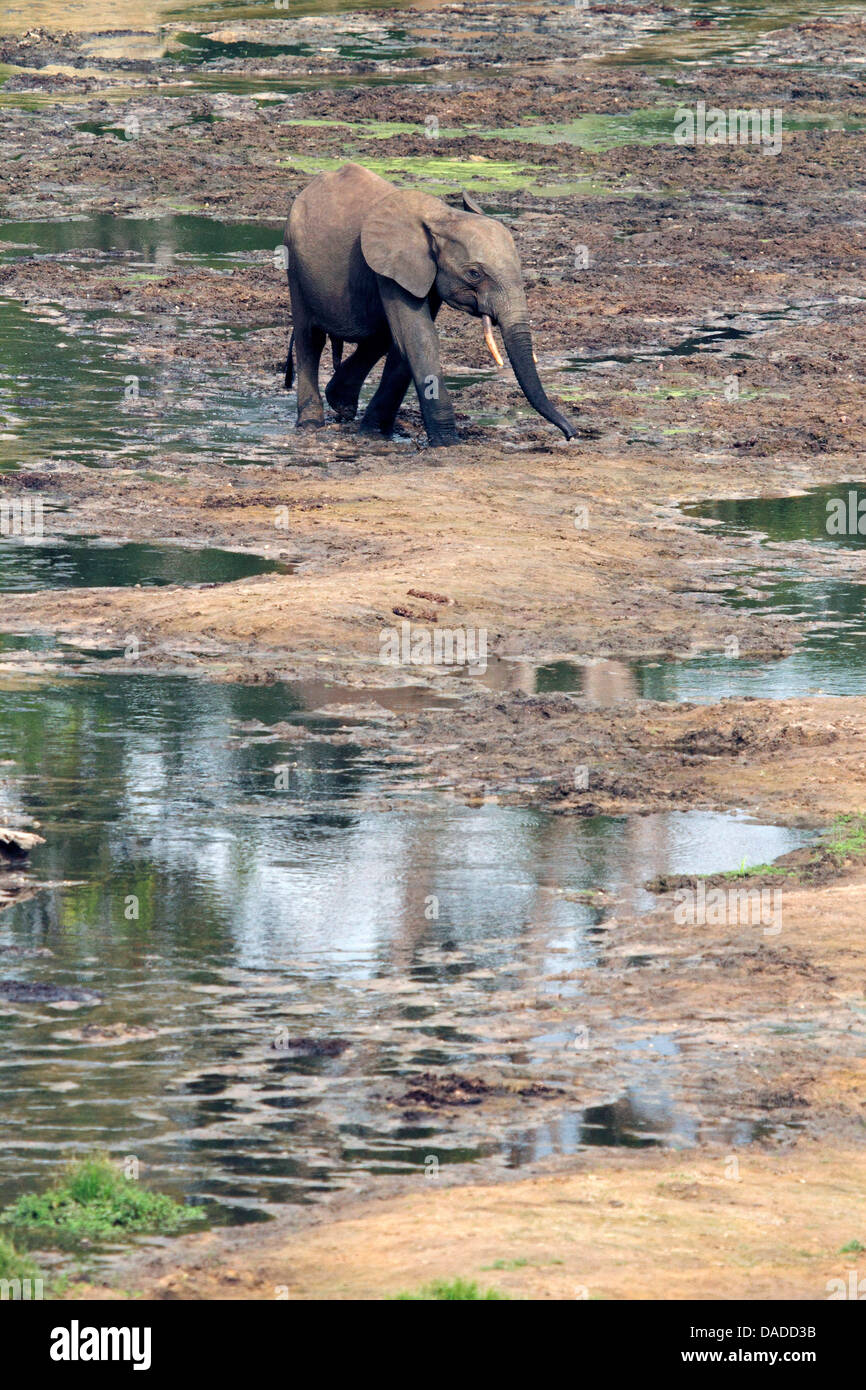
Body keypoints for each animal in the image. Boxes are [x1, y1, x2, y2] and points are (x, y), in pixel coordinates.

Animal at [284, 161, 578, 444]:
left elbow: (407, 342)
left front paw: (374, 434)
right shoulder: (392, 267)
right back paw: (311, 424)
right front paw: (448, 444)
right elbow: (419, 337)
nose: (571, 435)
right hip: (294, 259)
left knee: (381, 336)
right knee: (310, 338)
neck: (443, 218)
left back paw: (342, 405)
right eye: (474, 274)